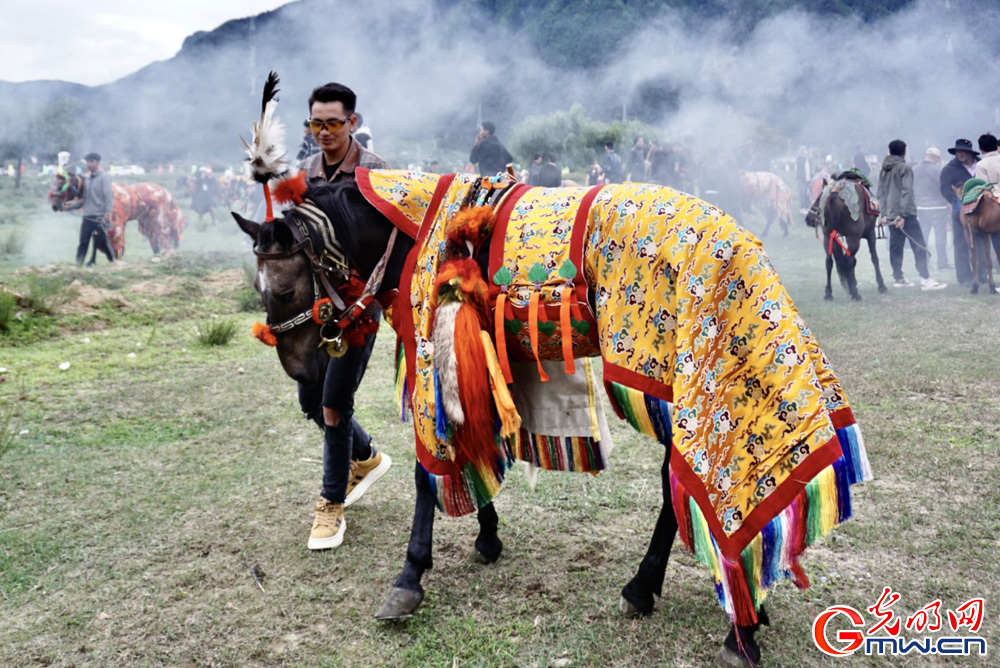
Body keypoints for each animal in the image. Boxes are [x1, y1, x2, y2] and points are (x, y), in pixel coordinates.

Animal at [49, 172, 188, 258]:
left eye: (60, 186)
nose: (55, 206)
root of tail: (167, 193)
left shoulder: (116, 225)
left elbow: (116, 248)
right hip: (149, 222)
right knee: (158, 243)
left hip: (159, 221)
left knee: (167, 242)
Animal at [238, 74, 872, 668]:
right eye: (260, 289)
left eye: (286, 287)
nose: (301, 372)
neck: (413, 227)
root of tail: (743, 243)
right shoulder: (474, 358)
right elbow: (475, 438)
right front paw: (488, 535)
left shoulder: (434, 359)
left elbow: (428, 469)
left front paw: (411, 576)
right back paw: (679, 597)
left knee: (700, 485)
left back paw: (728, 622)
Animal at [804, 170, 892, 300]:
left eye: (819, 198)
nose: (808, 219)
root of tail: (835, 193)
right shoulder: (870, 233)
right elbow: (874, 258)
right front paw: (881, 285)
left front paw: (853, 283)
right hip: (854, 237)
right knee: (848, 260)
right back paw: (855, 294)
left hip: (828, 237)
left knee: (829, 262)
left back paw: (829, 293)